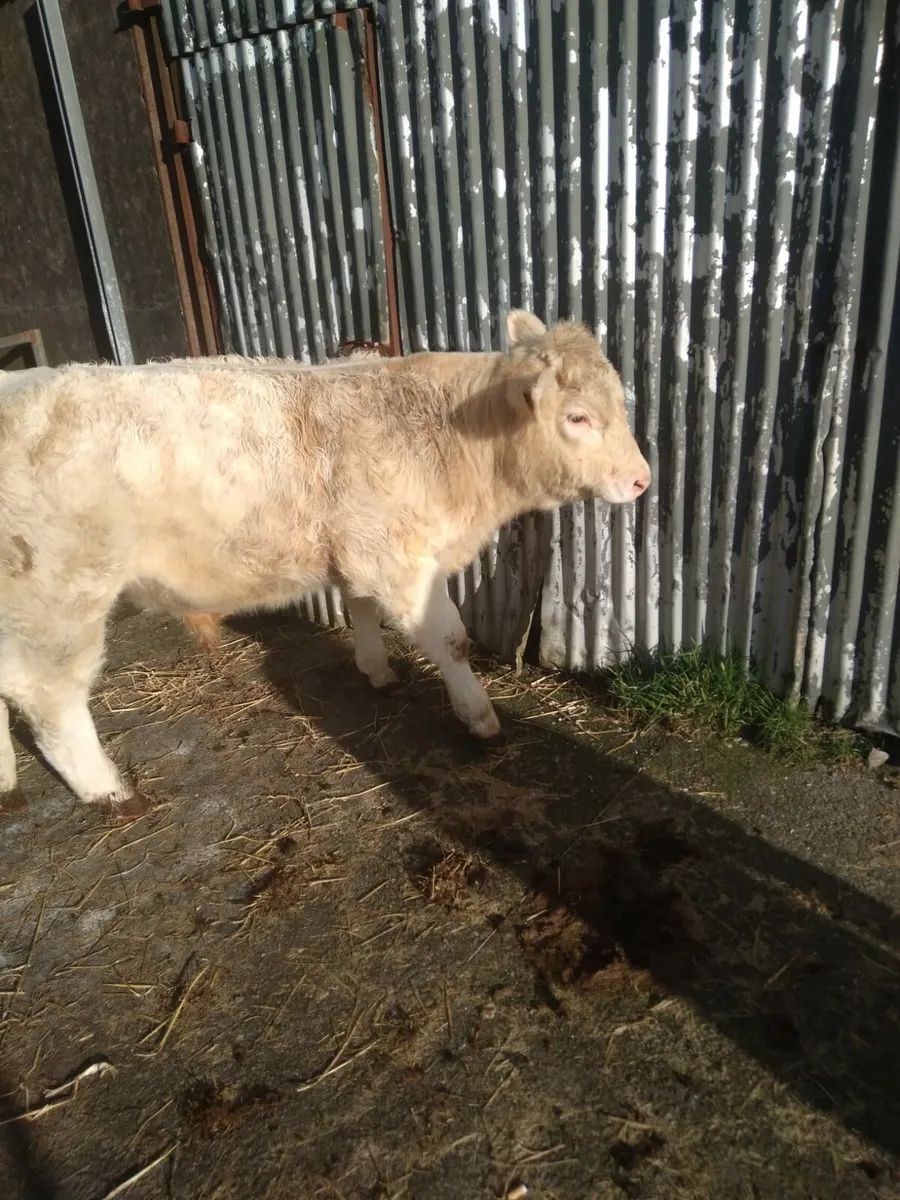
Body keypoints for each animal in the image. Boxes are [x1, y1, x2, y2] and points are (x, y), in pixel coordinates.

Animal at [0, 312, 650, 817]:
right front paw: (481, 720)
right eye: (578, 417)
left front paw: (377, 671)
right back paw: (109, 791)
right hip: (60, 595)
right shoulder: (397, 557)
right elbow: (451, 640)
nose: (642, 480)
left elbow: (361, 608)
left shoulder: (359, 550)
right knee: (50, 699)